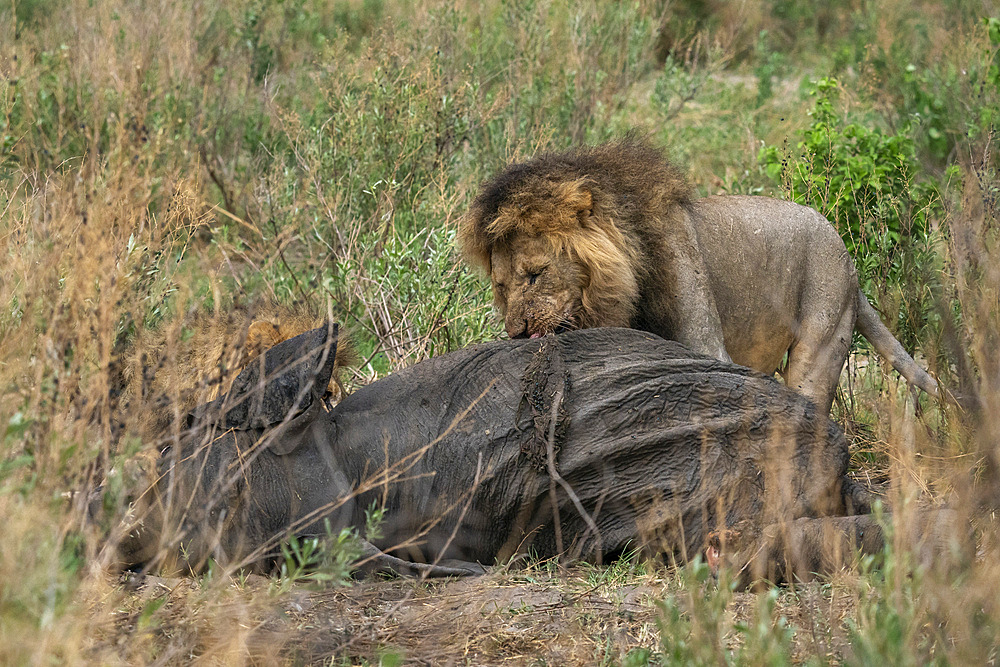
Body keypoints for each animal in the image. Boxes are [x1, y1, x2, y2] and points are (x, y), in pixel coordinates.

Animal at [458, 138, 940, 414]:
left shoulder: (708, 349)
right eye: (500, 288)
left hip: (822, 338)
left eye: (535, 275)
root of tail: (850, 260)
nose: (517, 333)